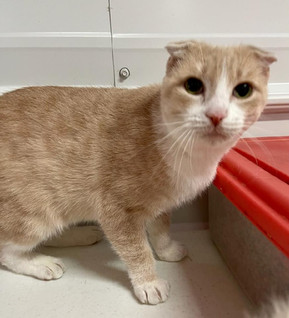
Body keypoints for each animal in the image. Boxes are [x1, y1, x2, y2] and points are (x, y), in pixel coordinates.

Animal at [0, 40, 274, 306]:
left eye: (243, 90)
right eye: (193, 85)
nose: (216, 114)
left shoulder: (161, 204)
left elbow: (161, 231)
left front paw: (166, 251)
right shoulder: (117, 211)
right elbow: (138, 251)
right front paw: (149, 282)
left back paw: (80, 233)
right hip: (35, 212)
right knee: (7, 250)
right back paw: (40, 262)